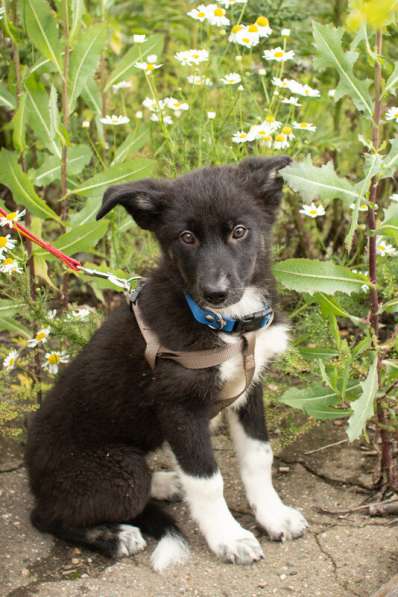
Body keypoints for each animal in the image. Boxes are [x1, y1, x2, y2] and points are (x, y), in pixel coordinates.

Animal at [25, 156, 308, 572]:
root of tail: (34, 480)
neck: (225, 325)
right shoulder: (180, 408)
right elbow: (208, 480)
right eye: (186, 238)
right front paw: (229, 538)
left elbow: (259, 457)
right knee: (48, 517)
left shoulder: (249, 389)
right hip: (117, 471)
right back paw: (114, 536)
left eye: (239, 231)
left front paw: (273, 515)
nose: (216, 292)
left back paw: (162, 482)